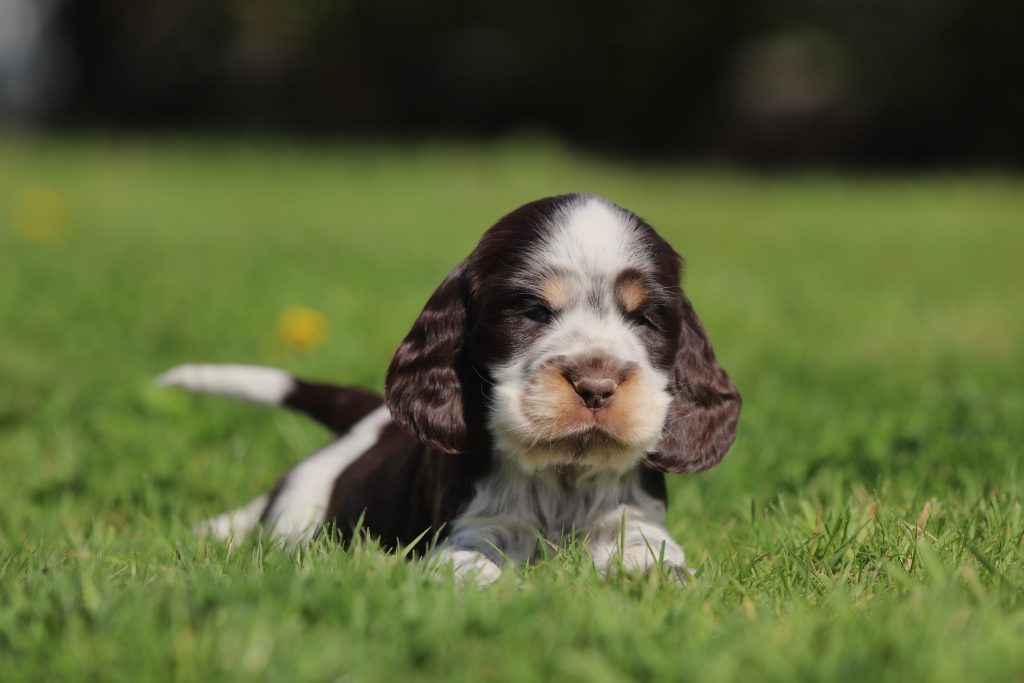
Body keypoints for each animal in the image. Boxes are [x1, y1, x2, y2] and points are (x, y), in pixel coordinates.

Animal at [157, 194, 737, 585]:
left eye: (646, 319)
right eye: (532, 311)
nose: (595, 386)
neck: (563, 474)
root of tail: (372, 416)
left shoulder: (634, 520)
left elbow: (649, 553)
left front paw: (659, 579)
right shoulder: (472, 527)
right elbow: (472, 565)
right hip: (304, 503)